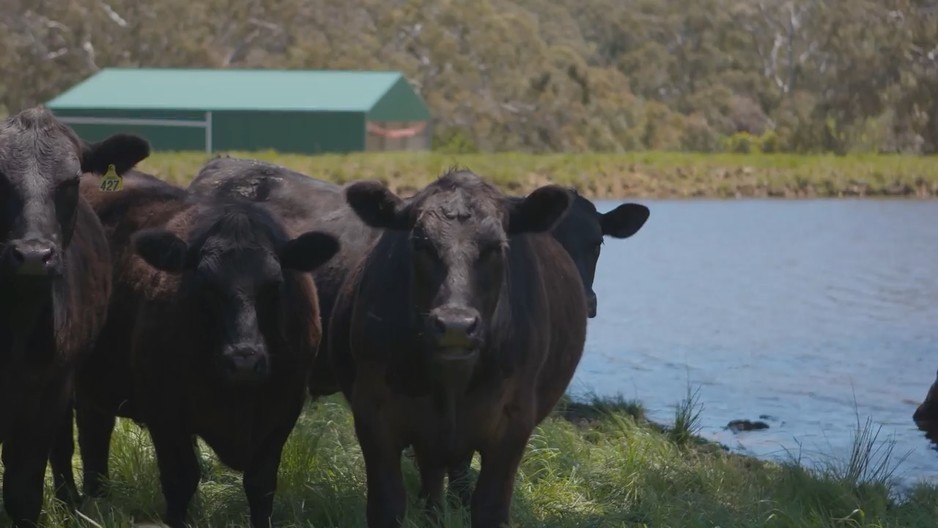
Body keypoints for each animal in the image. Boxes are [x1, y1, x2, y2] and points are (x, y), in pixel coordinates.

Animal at [326, 170, 580, 528]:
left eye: (496, 247)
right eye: (420, 244)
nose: (456, 325)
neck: (449, 384)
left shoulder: (513, 421)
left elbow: (489, 507)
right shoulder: (373, 412)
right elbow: (387, 505)